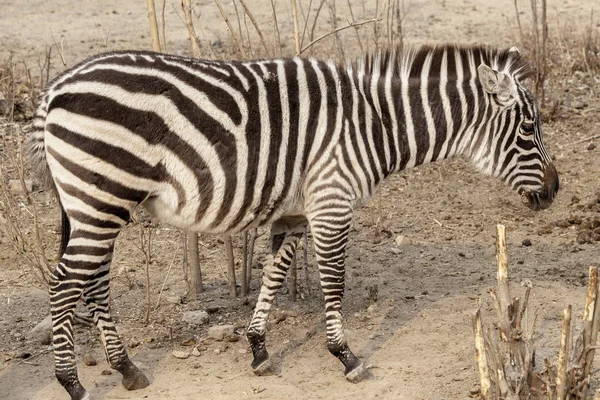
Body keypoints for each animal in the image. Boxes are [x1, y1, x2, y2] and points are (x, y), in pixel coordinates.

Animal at [25, 44, 556, 400]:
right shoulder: (332, 201)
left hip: (94, 205)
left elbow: (275, 273)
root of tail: (54, 89)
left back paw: (127, 368)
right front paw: (346, 356)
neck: (374, 124)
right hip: (101, 198)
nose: (555, 191)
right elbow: (333, 279)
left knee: (93, 282)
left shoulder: (297, 210)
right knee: (64, 285)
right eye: (529, 128)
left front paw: (259, 349)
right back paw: (72, 382)